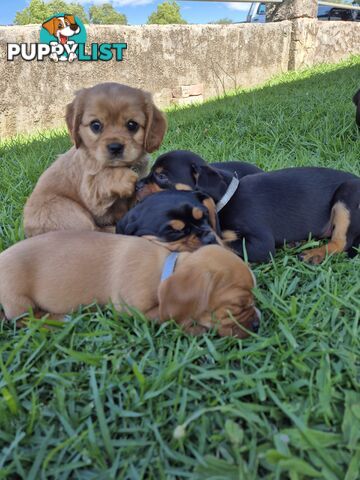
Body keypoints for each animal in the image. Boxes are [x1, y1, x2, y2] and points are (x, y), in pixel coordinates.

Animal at [0, 232, 260, 338]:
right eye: (236, 306)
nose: (259, 323)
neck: (165, 269)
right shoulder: (132, 309)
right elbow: (165, 316)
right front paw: (193, 328)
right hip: (17, 297)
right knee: (23, 318)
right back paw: (57, 319)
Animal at [23, 85, 167, 240]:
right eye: (95, 125)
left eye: (132, 125)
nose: (115, 147)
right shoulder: (91, 195)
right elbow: (102, 178)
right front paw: (123, 177)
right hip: (65, 211)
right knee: (93, 231)